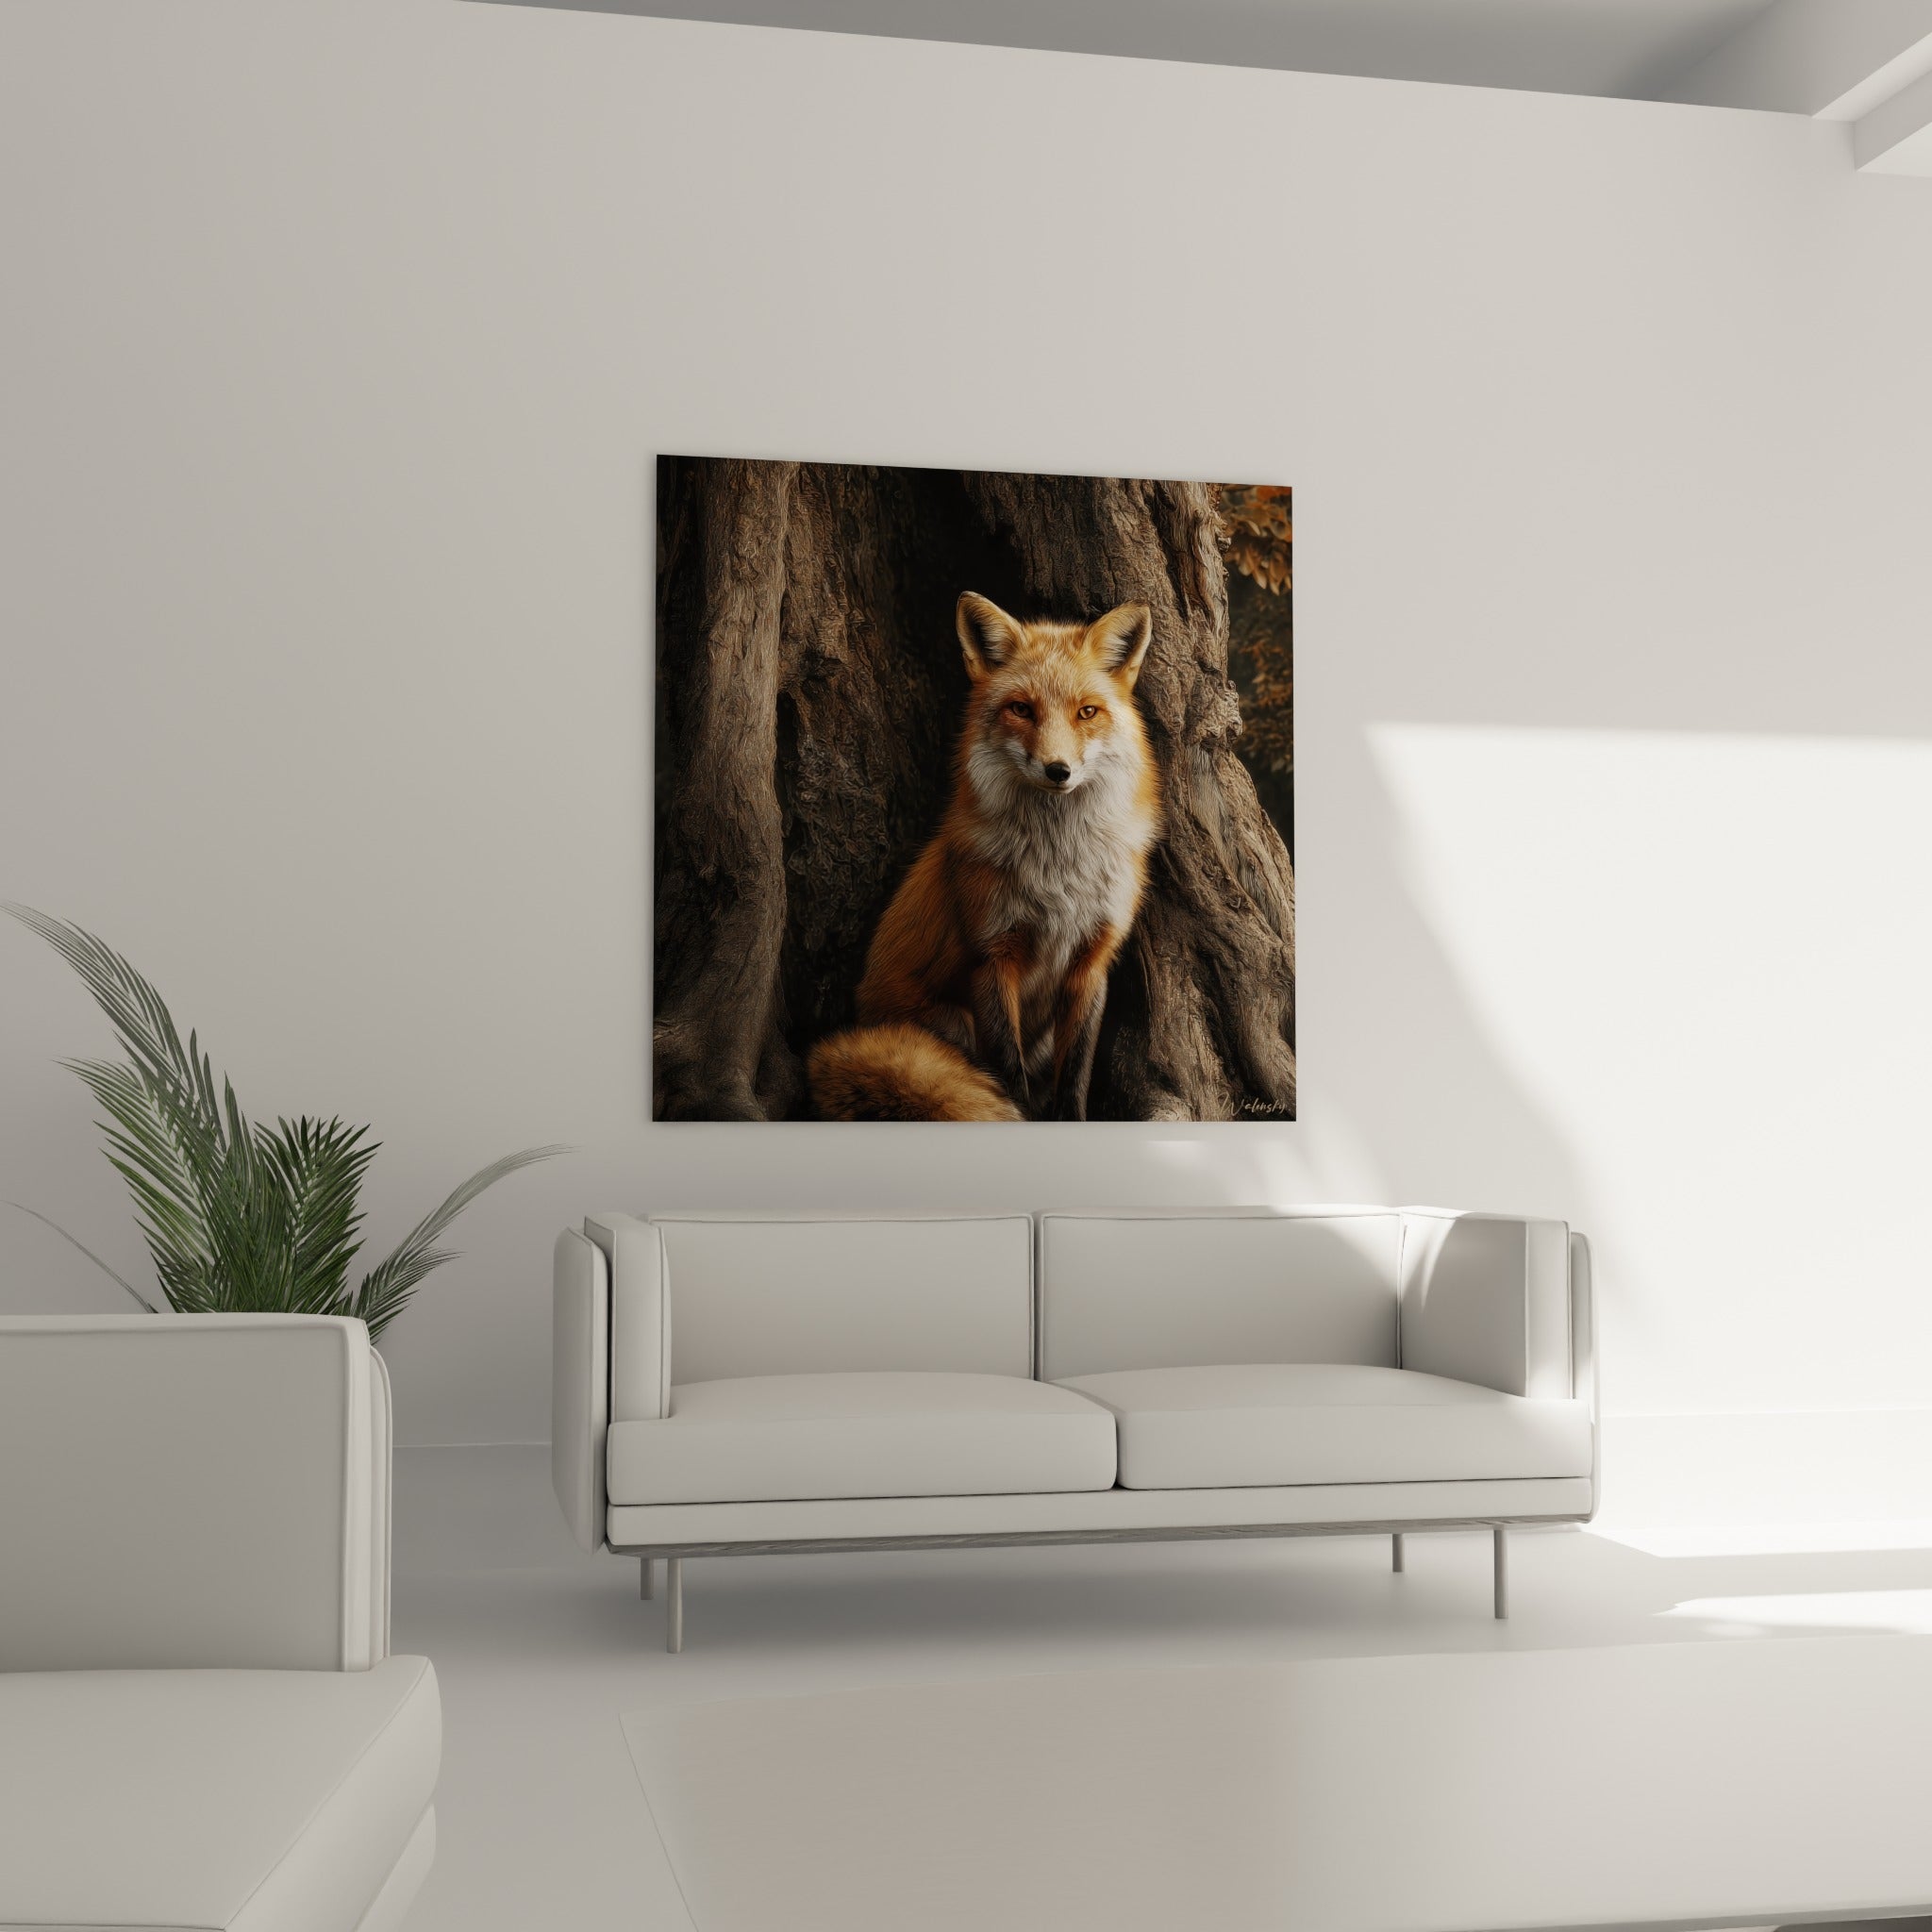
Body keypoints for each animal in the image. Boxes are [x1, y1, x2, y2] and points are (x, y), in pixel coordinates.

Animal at [808, 590, 1162, 1122]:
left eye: (1086, 712)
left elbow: (1076, 1071)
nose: (1058, 770)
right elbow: (1007, 1070)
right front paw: (1020, 1116)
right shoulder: (991, 954)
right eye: (1021, 709)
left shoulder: (1093, 959)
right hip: (953, 1019)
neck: (1061, 869)